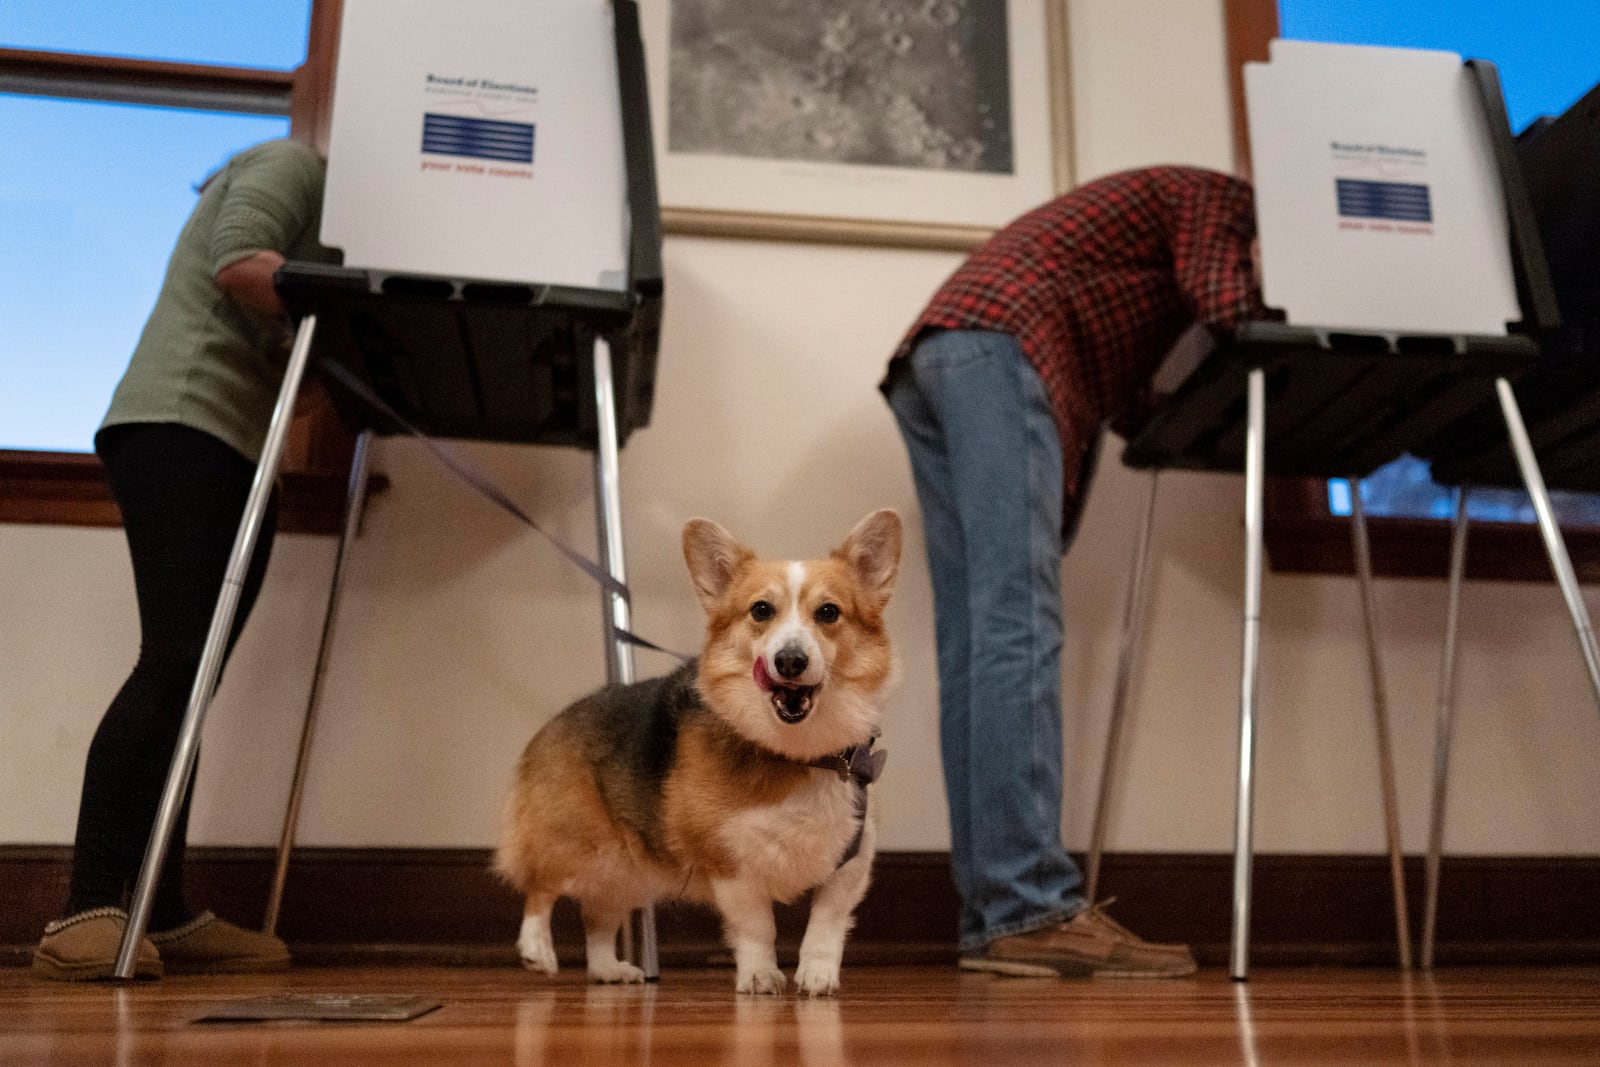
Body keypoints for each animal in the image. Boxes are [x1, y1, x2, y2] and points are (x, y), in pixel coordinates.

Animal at [492, 508, 902, 991]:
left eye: (829, 612)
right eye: (761, 610)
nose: (790, 660)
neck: (799, 753)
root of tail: (558, 717)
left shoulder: (849, 865)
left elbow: (825, 927)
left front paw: (817, 977)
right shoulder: (730, 865)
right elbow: (758, 928)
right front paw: (760, 975)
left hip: (626, 869)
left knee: (598, 920)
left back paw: (610, 969)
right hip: (577, 843)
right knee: (541, 888)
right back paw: (537, 948)